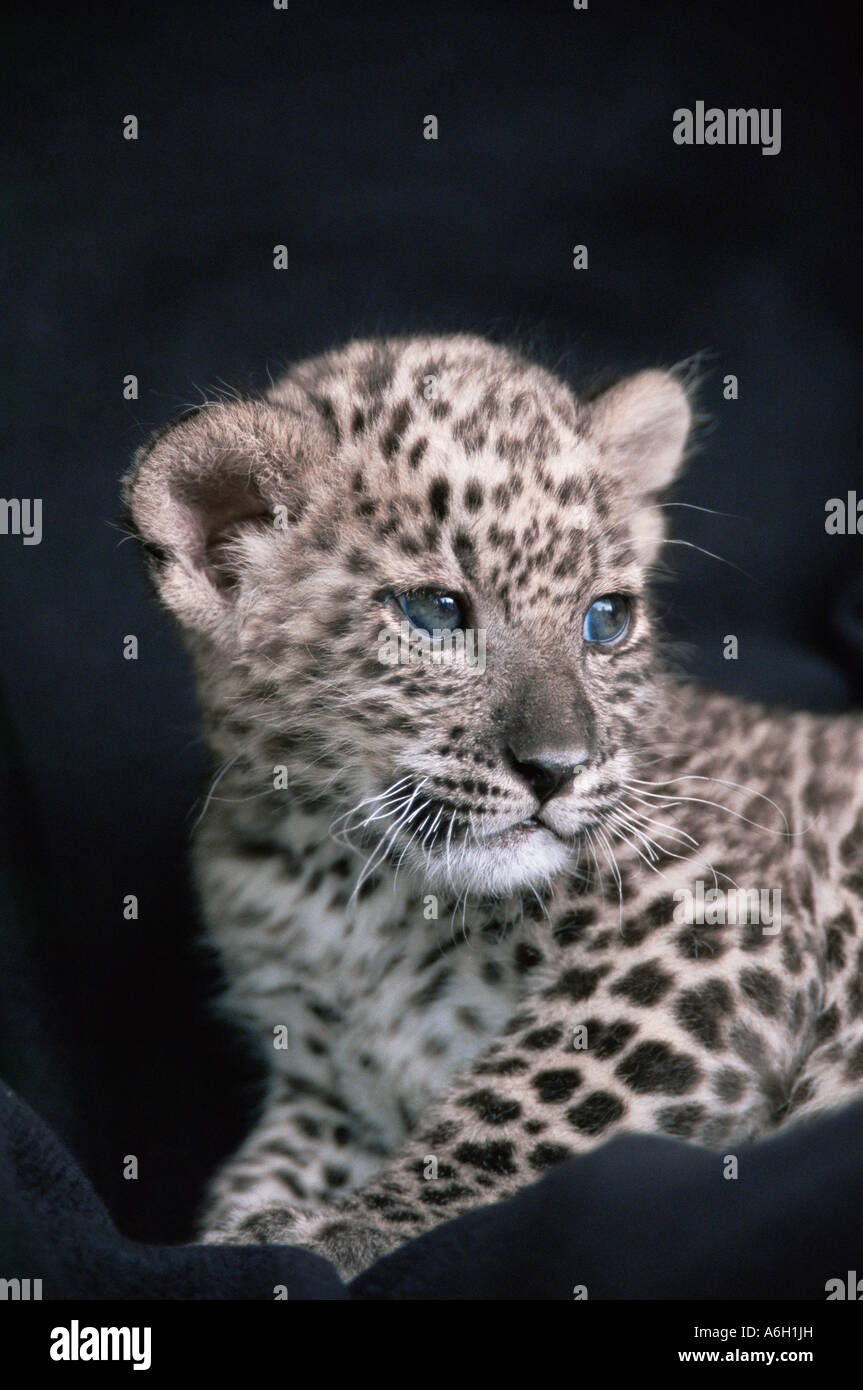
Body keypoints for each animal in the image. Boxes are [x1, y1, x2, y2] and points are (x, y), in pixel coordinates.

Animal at [123, 333, 863, 1281]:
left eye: (605, 619)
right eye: (435, 611)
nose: (559, 769)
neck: (345, 880)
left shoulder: (716, 927)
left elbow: (519, 1107)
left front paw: (332, 1231)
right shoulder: (325, 1083)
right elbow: (263, 1167)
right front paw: (239, 1231)